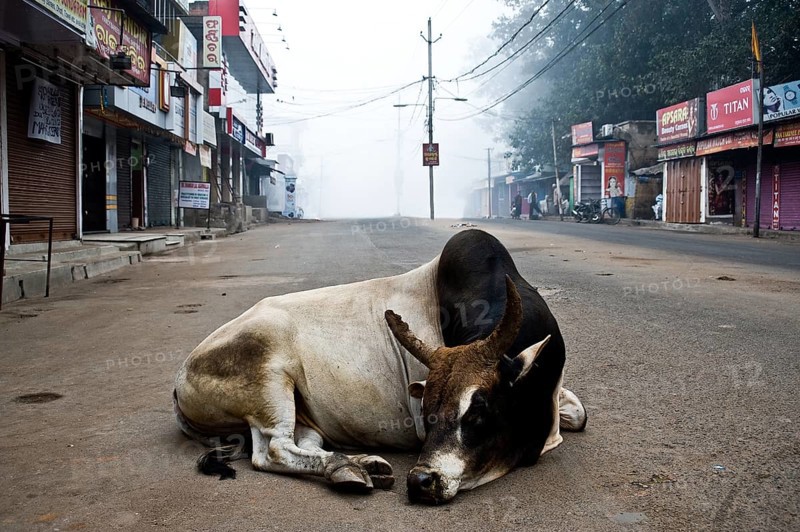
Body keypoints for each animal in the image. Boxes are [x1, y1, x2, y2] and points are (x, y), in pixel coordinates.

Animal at [173, 229, 586, 504]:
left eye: (479, 410)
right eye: (427, 411)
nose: (421, 480)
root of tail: (179, 382)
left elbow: (579, 415)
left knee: (301, 444)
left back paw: (355, 466)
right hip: (268, 383)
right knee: (272, 451)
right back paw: (351, 468)